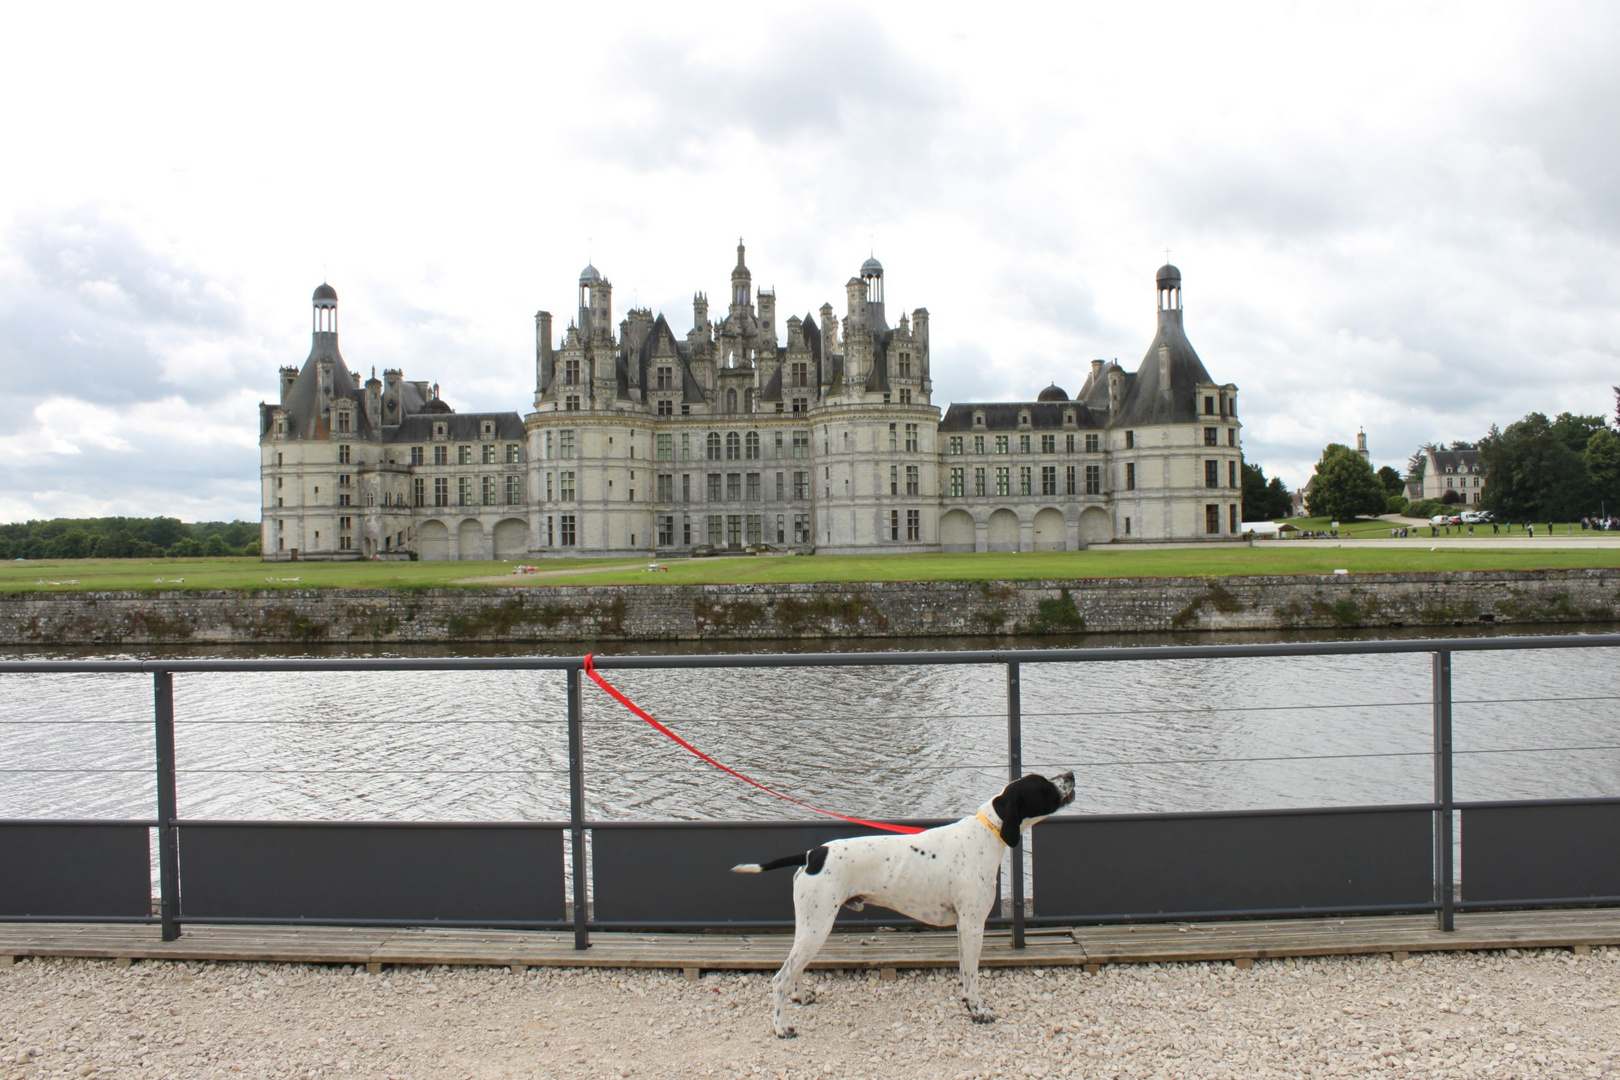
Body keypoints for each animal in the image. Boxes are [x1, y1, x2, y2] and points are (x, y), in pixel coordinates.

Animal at [735, 767, 1075, 1036]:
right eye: (1044, 784)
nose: (1071, 774)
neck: (985, 834)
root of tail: (812, 855)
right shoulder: (973, 924)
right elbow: (973, 974)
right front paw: (979, 1010)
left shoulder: (963, 927)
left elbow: (964, 970)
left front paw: (967, 1002)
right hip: (816, 928)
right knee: (780, 978)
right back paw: (782, 1027)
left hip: (809, 928)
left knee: (795, 971)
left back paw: (802, 998)